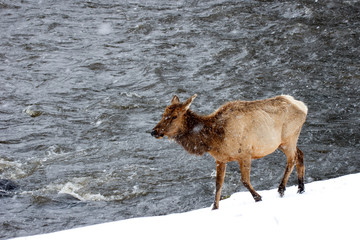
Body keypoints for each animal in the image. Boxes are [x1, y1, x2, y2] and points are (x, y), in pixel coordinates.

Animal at [150, 94, 308, 209]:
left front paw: (258, 197)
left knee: (292, 160)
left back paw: (281, 189)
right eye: (163, 113)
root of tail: (303, 106)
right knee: (300, 154)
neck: (212, 139)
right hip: (281, 143)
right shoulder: (220, 159)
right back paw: (301, 188)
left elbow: (244, 180)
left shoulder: (245, 153)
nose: (154, 131)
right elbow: (218, 184)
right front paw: (215, 207)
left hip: (289, 138)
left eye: (175, 116)